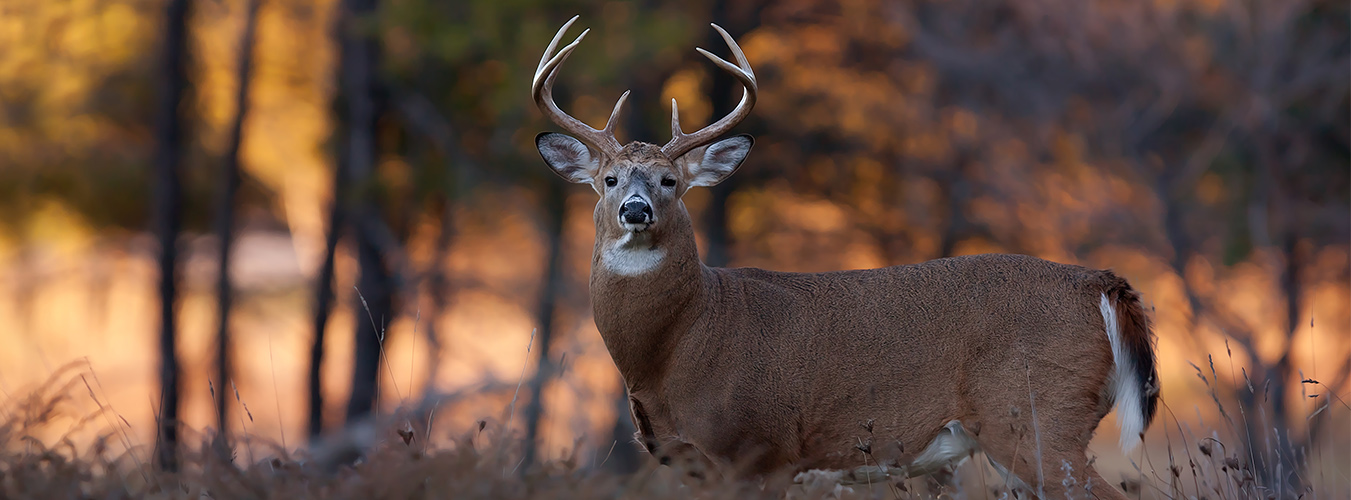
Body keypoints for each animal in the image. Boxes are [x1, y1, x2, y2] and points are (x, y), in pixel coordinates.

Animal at [526, 16, 1161, 500]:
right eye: (609, 180)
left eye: (669, 182)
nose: (636, 210)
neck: (678, 345)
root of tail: (1102, 284)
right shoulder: (693, 463)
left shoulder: (762, 450)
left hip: (1038, 418)